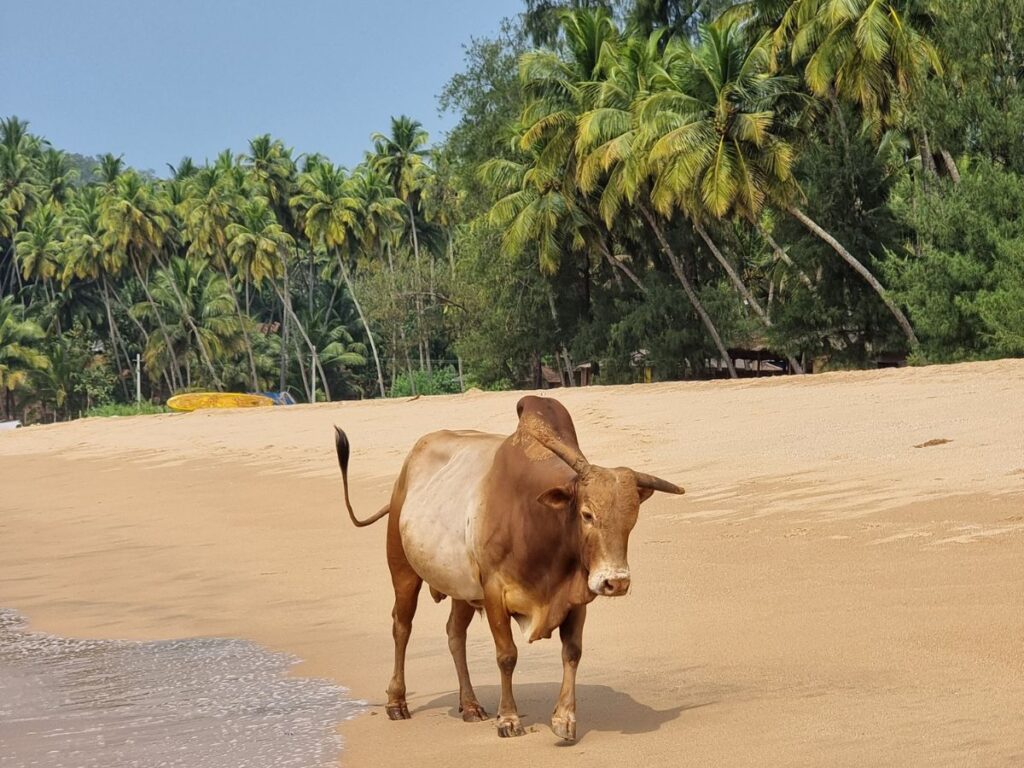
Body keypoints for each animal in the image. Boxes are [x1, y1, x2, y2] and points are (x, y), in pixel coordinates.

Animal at [335, 397, 684, 741]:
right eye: (587, 514)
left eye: (632, 519)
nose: (616, 582)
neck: (539, 522)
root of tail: (404, 475)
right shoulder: (494, 592)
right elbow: (507, 655)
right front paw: (509, 719)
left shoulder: (576, 596)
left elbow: (572, 651)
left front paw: (564, 718)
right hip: (402, 568)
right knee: (402, 627)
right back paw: (397, 702)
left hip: (462, 589)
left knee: (454, 634)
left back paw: (470, 705)